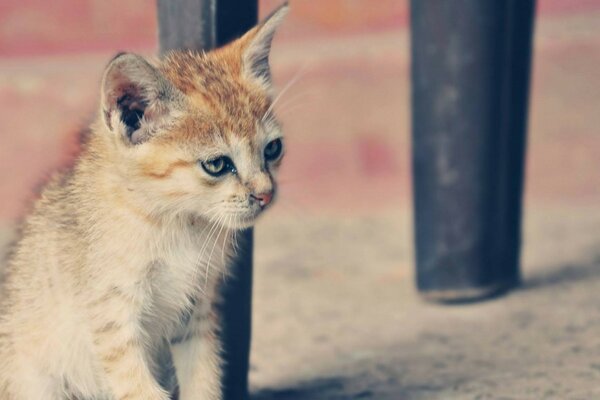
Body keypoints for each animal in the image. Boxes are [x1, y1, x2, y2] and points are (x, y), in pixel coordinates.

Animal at [0, 3, 288, 400]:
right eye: (216, 165)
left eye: (273, 149)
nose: (265, 193)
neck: (176, 224)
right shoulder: (113, 322)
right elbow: (139, 389)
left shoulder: (196, 313)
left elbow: (204, 377)